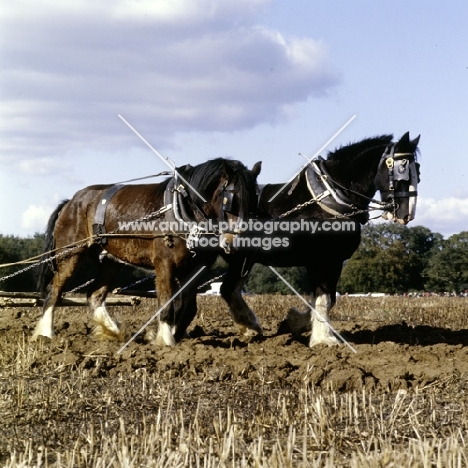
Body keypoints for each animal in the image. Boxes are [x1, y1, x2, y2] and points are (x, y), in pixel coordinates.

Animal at [33, 159, 262, 346]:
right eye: (230, 199)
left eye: (254, 201)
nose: (237, 241)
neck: (183, 209)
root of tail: (71, 202)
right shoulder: (164, 263)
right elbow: (167, 302)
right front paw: (165, 339)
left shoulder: (196, 268)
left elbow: (188, 307)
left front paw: (170, 334)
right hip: (70, 254)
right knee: (54, 290)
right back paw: (45, 334)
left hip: (110, 261)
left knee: (94, 295)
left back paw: (116, 331)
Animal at [219, 133, 420, 346]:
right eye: (401, 172)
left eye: (419, 171)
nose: (406, 214)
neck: (327, 202)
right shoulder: (323, 260)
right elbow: (324, 298)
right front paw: (324, 338)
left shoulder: (330, 262)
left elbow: (324, 299)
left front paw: (295, 323)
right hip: (239, 258)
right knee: (227, 289)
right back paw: (250, 328)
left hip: (244, 260)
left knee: (231, 290)